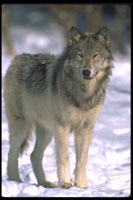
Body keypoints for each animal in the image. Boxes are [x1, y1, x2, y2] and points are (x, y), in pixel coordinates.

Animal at [3, 26, 113, 189]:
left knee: (34, 155)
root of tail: (17, 58)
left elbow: (82, 160)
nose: (86, 72)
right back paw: (15, 180)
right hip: (23, 126)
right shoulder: (63, 126)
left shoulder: (86, 128)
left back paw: (44, 183)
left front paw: (81, 186)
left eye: (95, 56)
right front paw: (66, 183)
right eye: (80, 55)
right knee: (12, 153)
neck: (84, 93)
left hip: (47, 131)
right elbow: (64, 157)